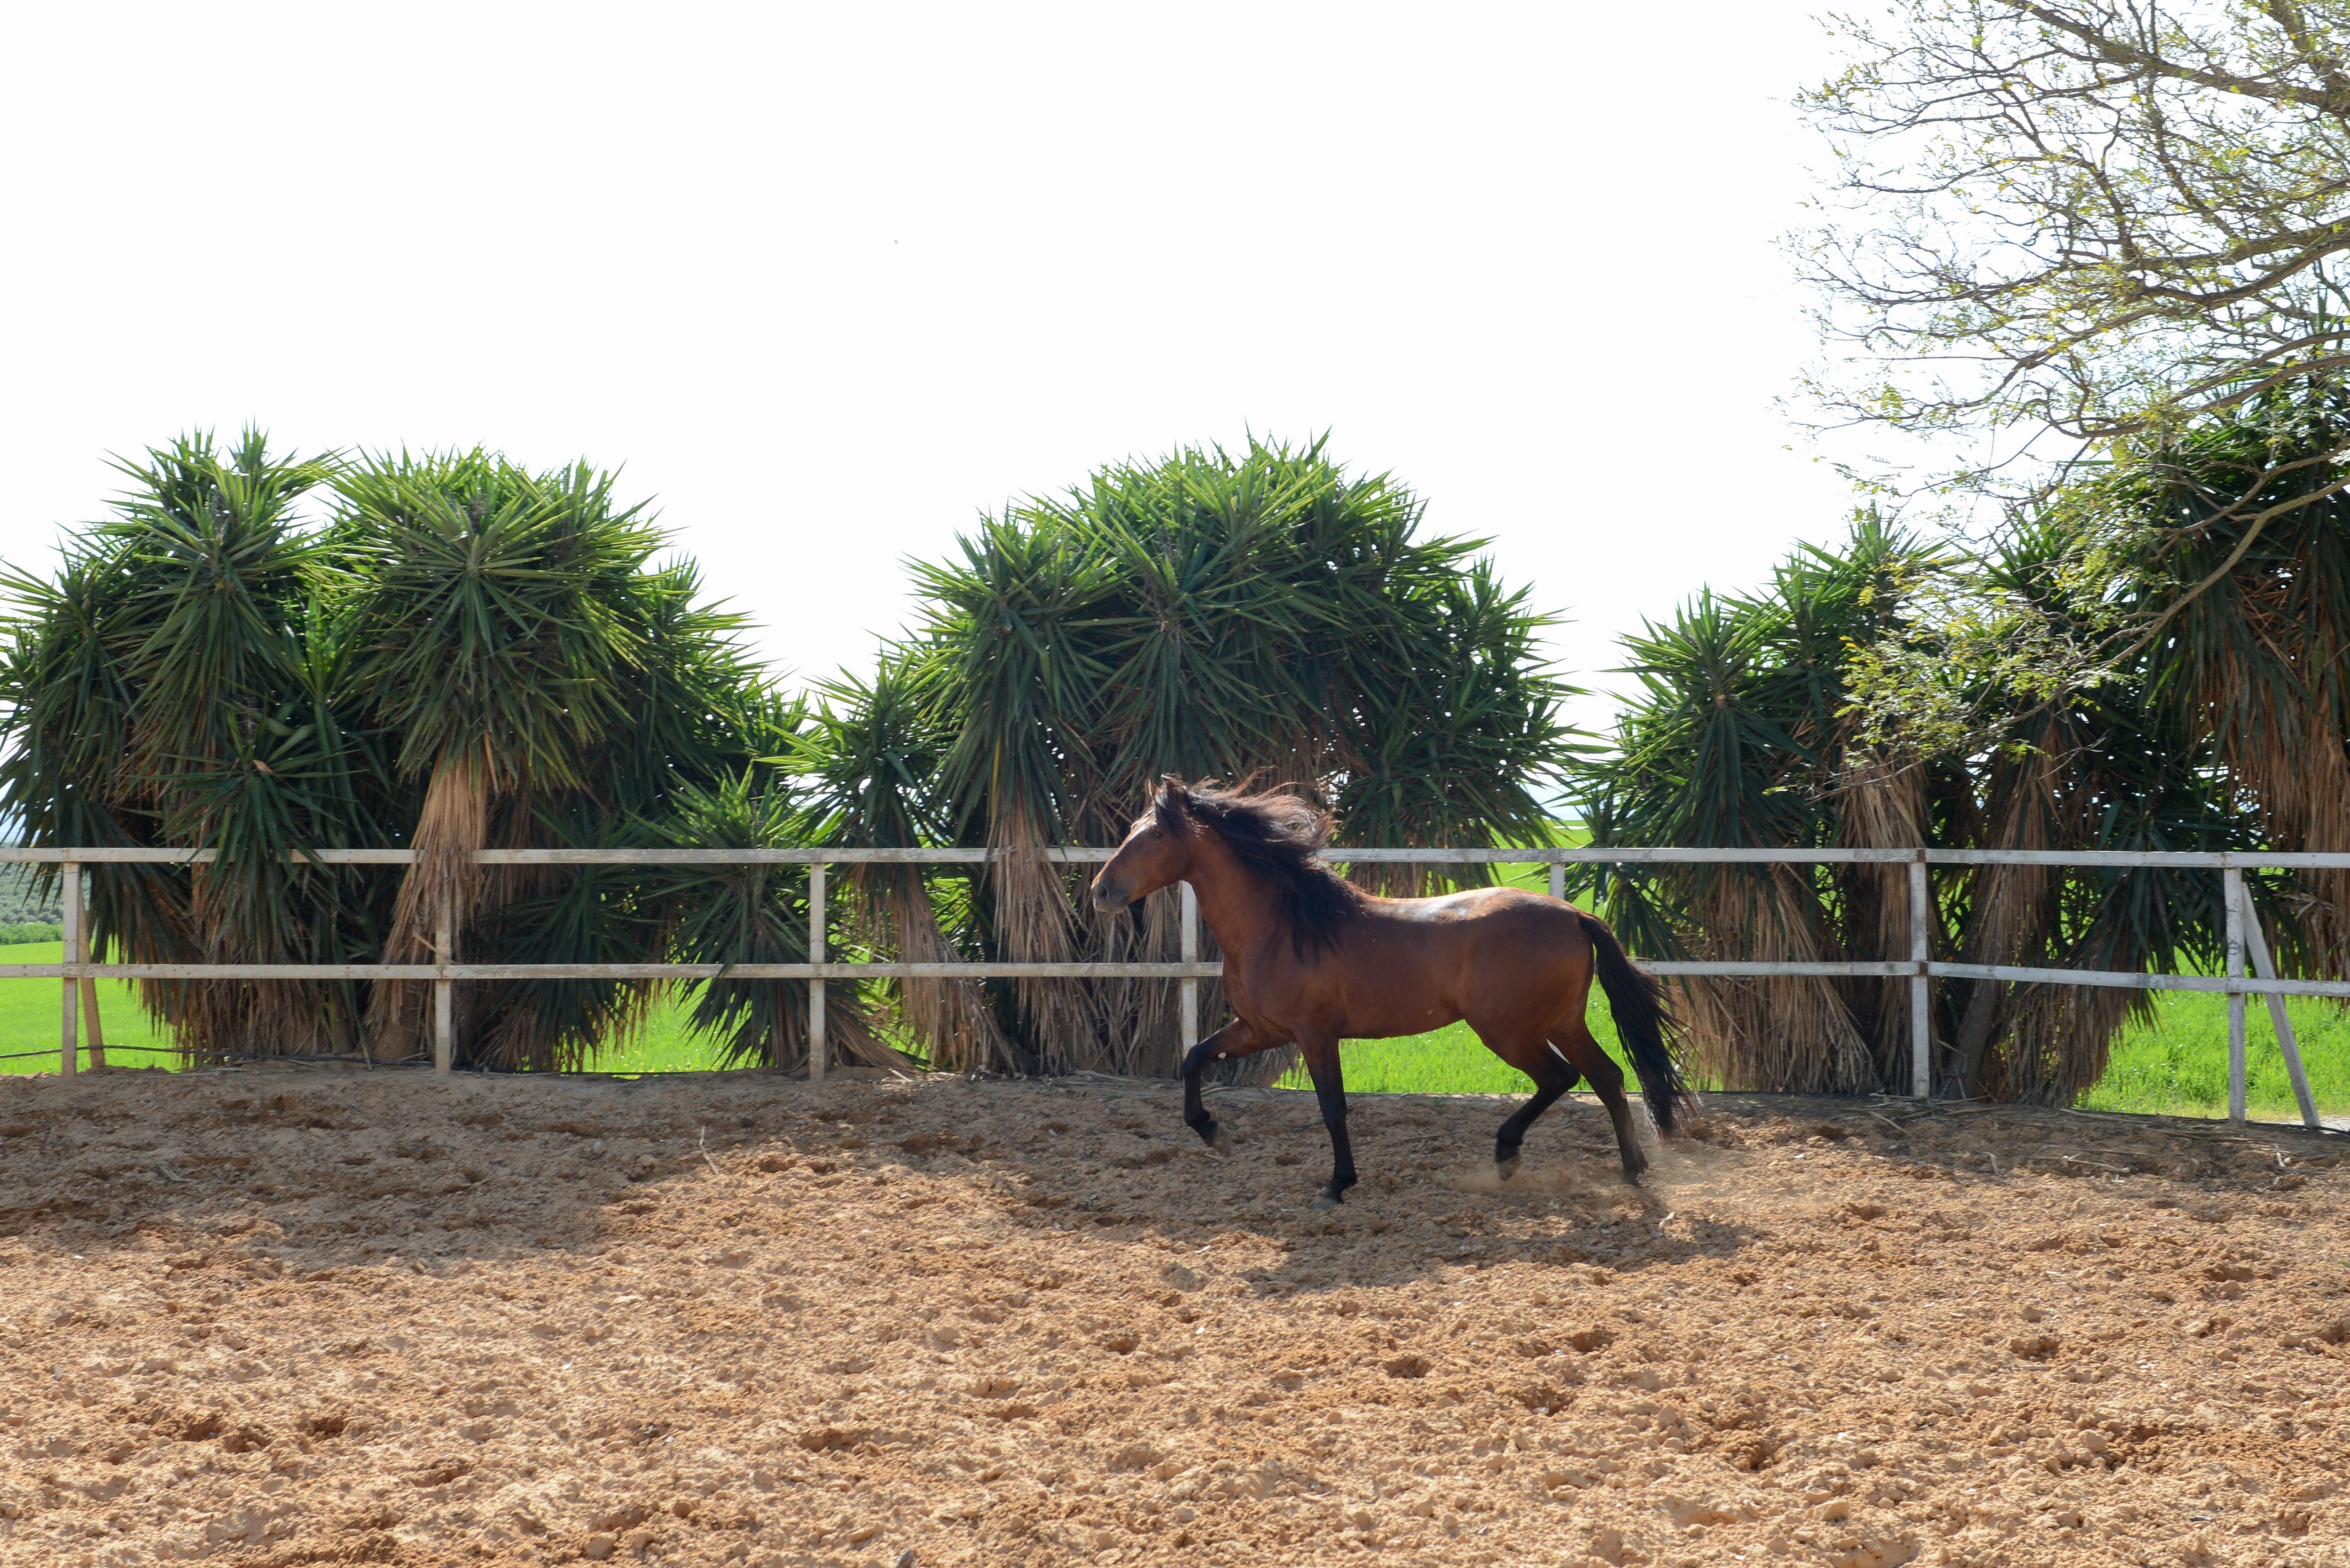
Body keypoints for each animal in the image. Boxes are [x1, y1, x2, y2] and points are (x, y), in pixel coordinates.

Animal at [1081, 780, 1692, 1213]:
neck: (1281, 925)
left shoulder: (1314, 1033)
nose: (1100, 891)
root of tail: (1574, 914)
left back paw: (1507, 1154)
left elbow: (1332, 1107)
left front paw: (1336, 1185)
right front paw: (1213, 1134)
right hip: (1561, 1020)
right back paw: (1631, 1171)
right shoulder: (1259, 1029)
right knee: (1607, 1076)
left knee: (1561, 1077)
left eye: (1154, 836)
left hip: (1508, 1030)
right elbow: (1192, 1058)